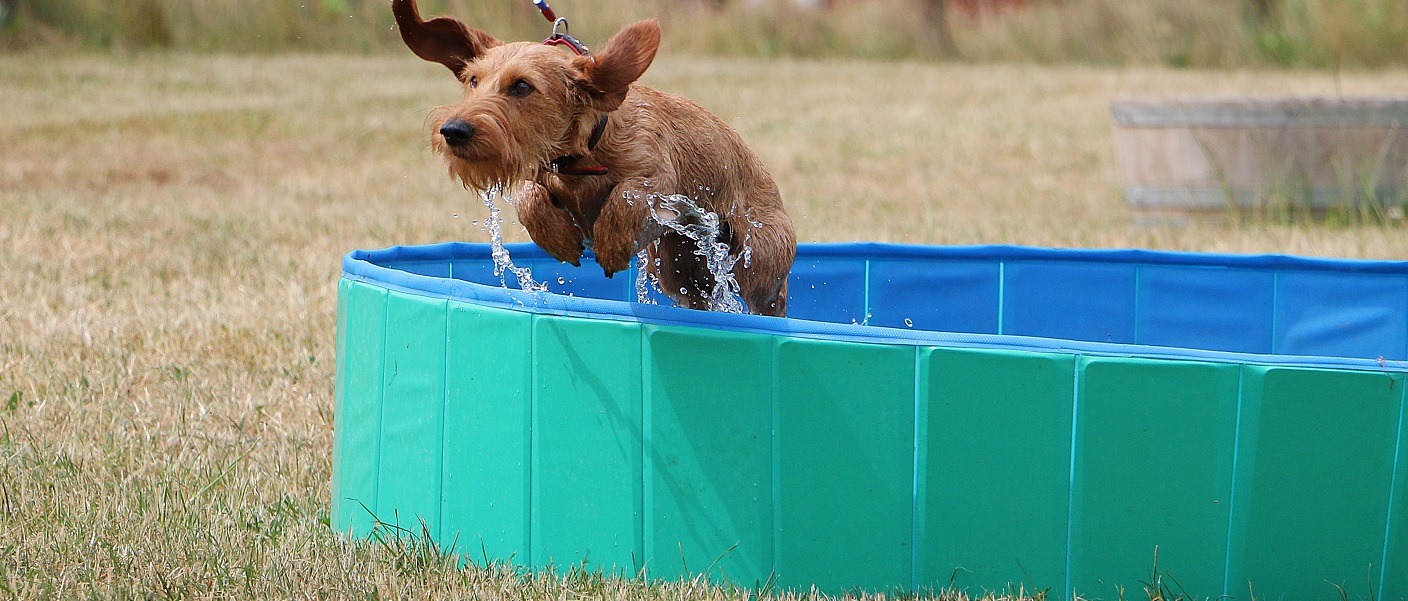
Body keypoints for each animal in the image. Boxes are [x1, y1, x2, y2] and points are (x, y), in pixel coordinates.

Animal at [391, 0, 799, 318]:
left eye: (521, 86)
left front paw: (611, 245)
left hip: (759, 261)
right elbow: (528, 195)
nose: (453, 130)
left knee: (772, 298)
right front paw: (559, 238)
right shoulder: (541, 174)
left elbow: (625, 196)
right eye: (472, 80)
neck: (580, 159)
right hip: (678, 268)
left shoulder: (658, 181)